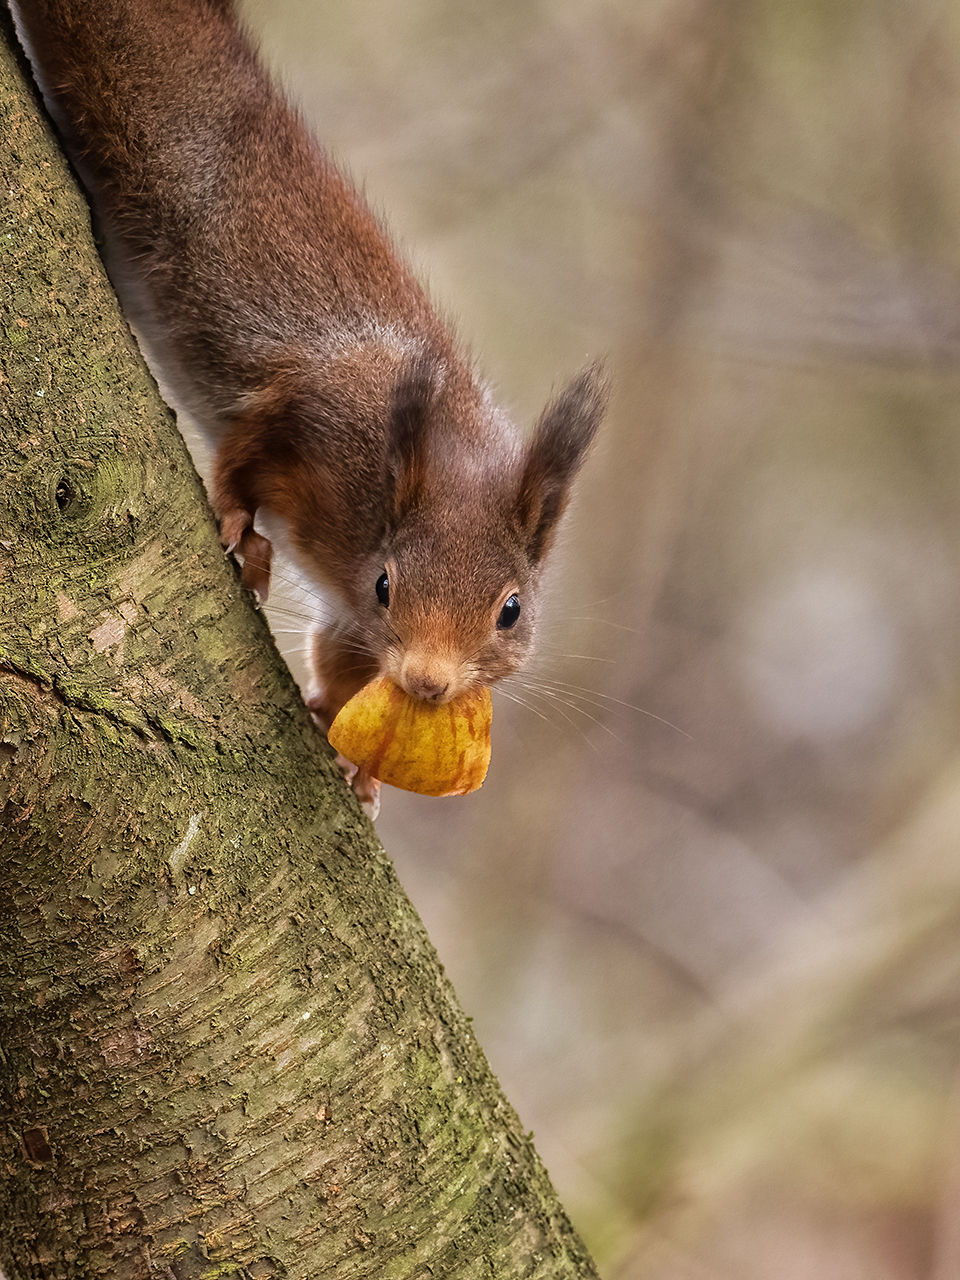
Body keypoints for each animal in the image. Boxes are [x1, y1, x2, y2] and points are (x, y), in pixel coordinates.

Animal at [9, 0, 609, 814]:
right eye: (387, 583)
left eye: (512, 611)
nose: (427, 683)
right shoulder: (314, 405)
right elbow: (243, 451)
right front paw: (240, 526)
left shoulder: (353, 622)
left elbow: (341, 657)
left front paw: (351, 753)